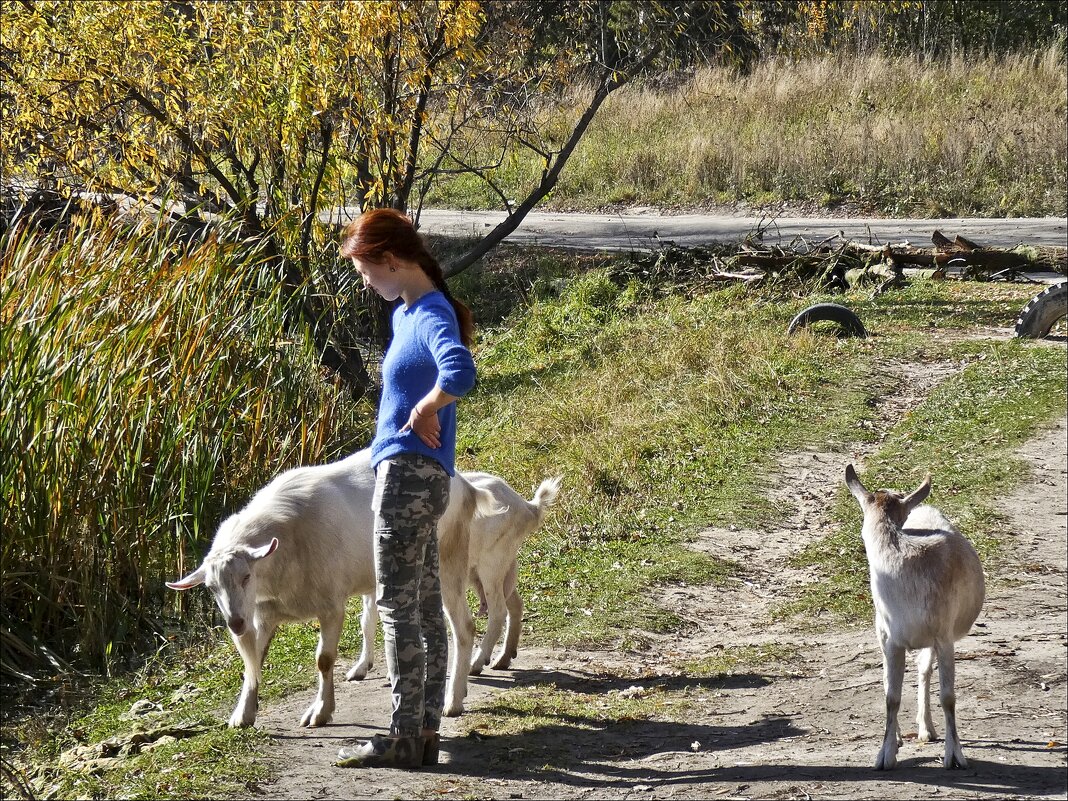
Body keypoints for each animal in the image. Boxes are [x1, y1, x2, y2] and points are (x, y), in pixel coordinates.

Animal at [166, 448, 499, 730]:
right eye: (211, 587)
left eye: (247, 576)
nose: (235, 623)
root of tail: (467, 486)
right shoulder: (263, 614)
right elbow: (254, 662)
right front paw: (243, 713)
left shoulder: (329, 607)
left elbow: (323, 660)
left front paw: (320, 712)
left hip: (448, 563)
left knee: (464, 627)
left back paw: (452, 701)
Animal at [354, 474, 563, 679]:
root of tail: (528, 508)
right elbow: (367, 621)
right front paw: (360, 668)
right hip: (495, 570)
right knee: (516, 604)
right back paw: (502, 659)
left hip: (491, 565)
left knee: (498, 611)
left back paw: (477, 663)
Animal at [845, 463, 986, 773]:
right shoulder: (890, 638)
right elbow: (891, 696)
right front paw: (885, 755)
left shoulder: (944, 635)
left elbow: (948, 697)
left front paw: (954, 756)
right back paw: (903, 735)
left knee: (924, 671)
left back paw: (927, 730)